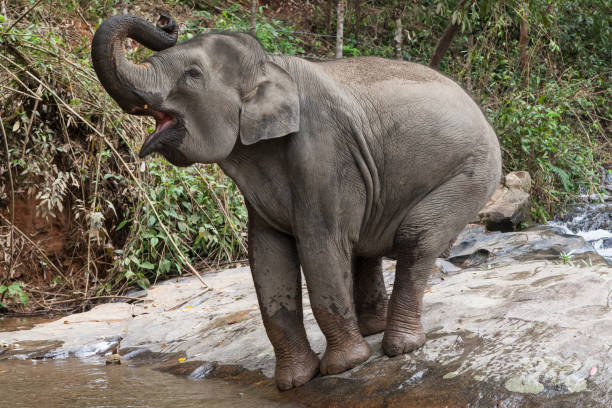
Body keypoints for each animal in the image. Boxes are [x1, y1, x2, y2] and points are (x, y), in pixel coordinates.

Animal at [91, 13, 502, 392]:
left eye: (192, 74)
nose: (165, 20)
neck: (269, 65)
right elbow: (267, 256)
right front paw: (293, 382)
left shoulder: (324, 149)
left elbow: (320, 243)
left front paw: (343, 366)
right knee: (364, 247)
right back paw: (373, 329)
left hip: (474, 172)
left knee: (415, 238)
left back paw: (400, 347)